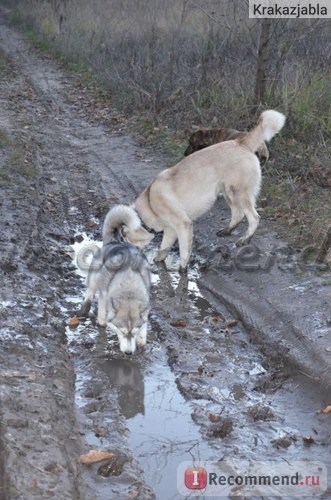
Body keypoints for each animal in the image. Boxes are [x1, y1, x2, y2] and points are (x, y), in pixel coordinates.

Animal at [131, 109, 286, 270]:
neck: (150, 201)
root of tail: (241, 142)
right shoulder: (171, 231)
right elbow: (163, 250)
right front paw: (158, 262)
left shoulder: (183, 226)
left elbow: (184, 252)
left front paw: (182, 271)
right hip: (227, 193)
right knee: (238, 215)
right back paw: (227, 231)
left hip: (238, 193)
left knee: (254, 218)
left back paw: (245, 239)